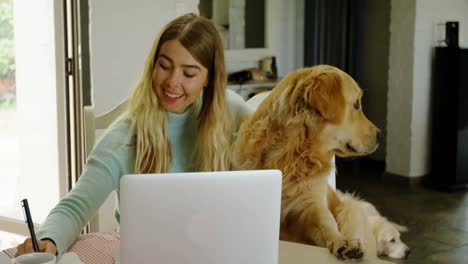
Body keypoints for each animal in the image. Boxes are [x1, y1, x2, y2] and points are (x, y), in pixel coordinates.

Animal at [232, 65, 382, 258]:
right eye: (356, 104)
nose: (380, 135)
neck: (293, 155)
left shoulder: (312, 206)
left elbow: (327, 224)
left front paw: (343, 241)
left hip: (350, 210)